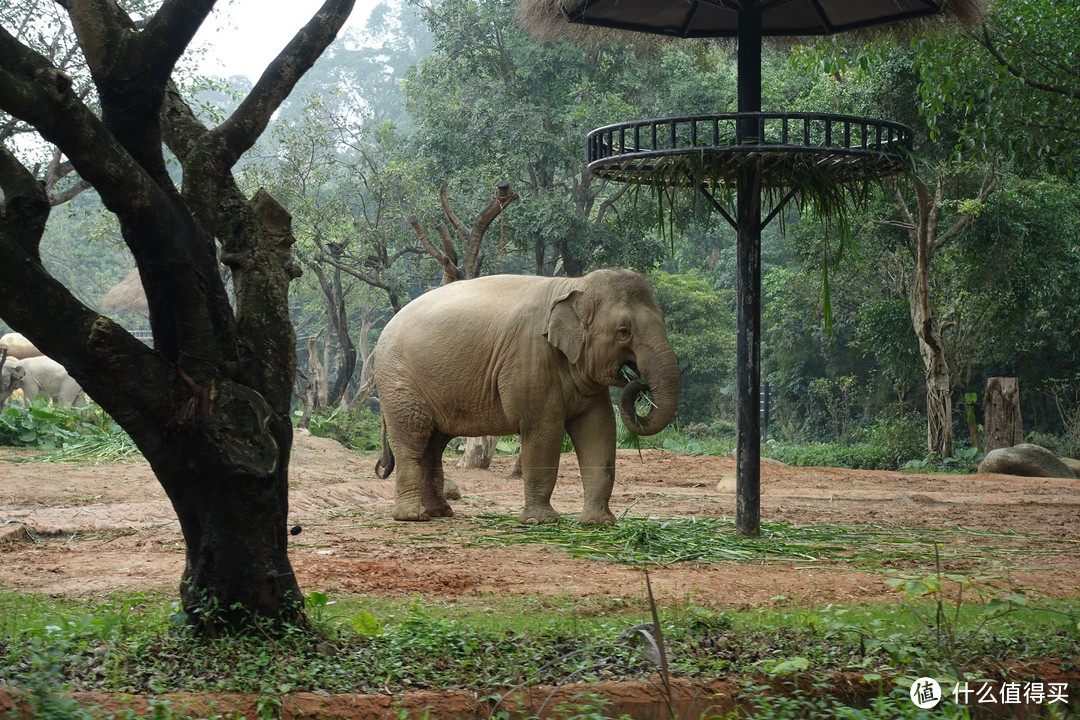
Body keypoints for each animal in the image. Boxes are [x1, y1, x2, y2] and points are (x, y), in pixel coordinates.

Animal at [371, 267, 673, 526]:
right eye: (624, 332)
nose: (638, 382)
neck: (572, 285)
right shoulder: (528, 357)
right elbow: (543, 429)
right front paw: (541, 521)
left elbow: (599, 431)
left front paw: (599, 523)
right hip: (400, 383)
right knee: (413, 438)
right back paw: (413, 517)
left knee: (433, 444)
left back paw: (440, 513)